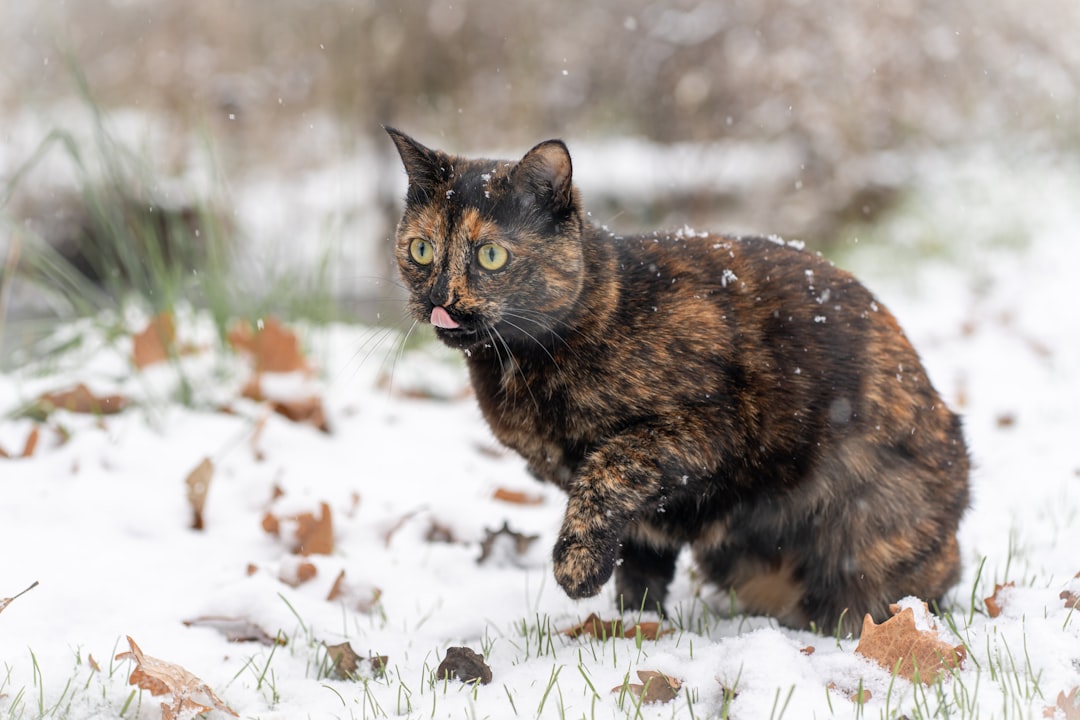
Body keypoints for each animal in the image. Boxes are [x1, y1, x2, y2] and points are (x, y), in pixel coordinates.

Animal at [386, 126, 972, 634]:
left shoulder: (709, 427)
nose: (439, 298)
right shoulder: (651, 510)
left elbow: (609, 467)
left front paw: (578, 568)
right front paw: (633, 627)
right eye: (421, 250)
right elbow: (639, 558)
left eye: (491, 255)